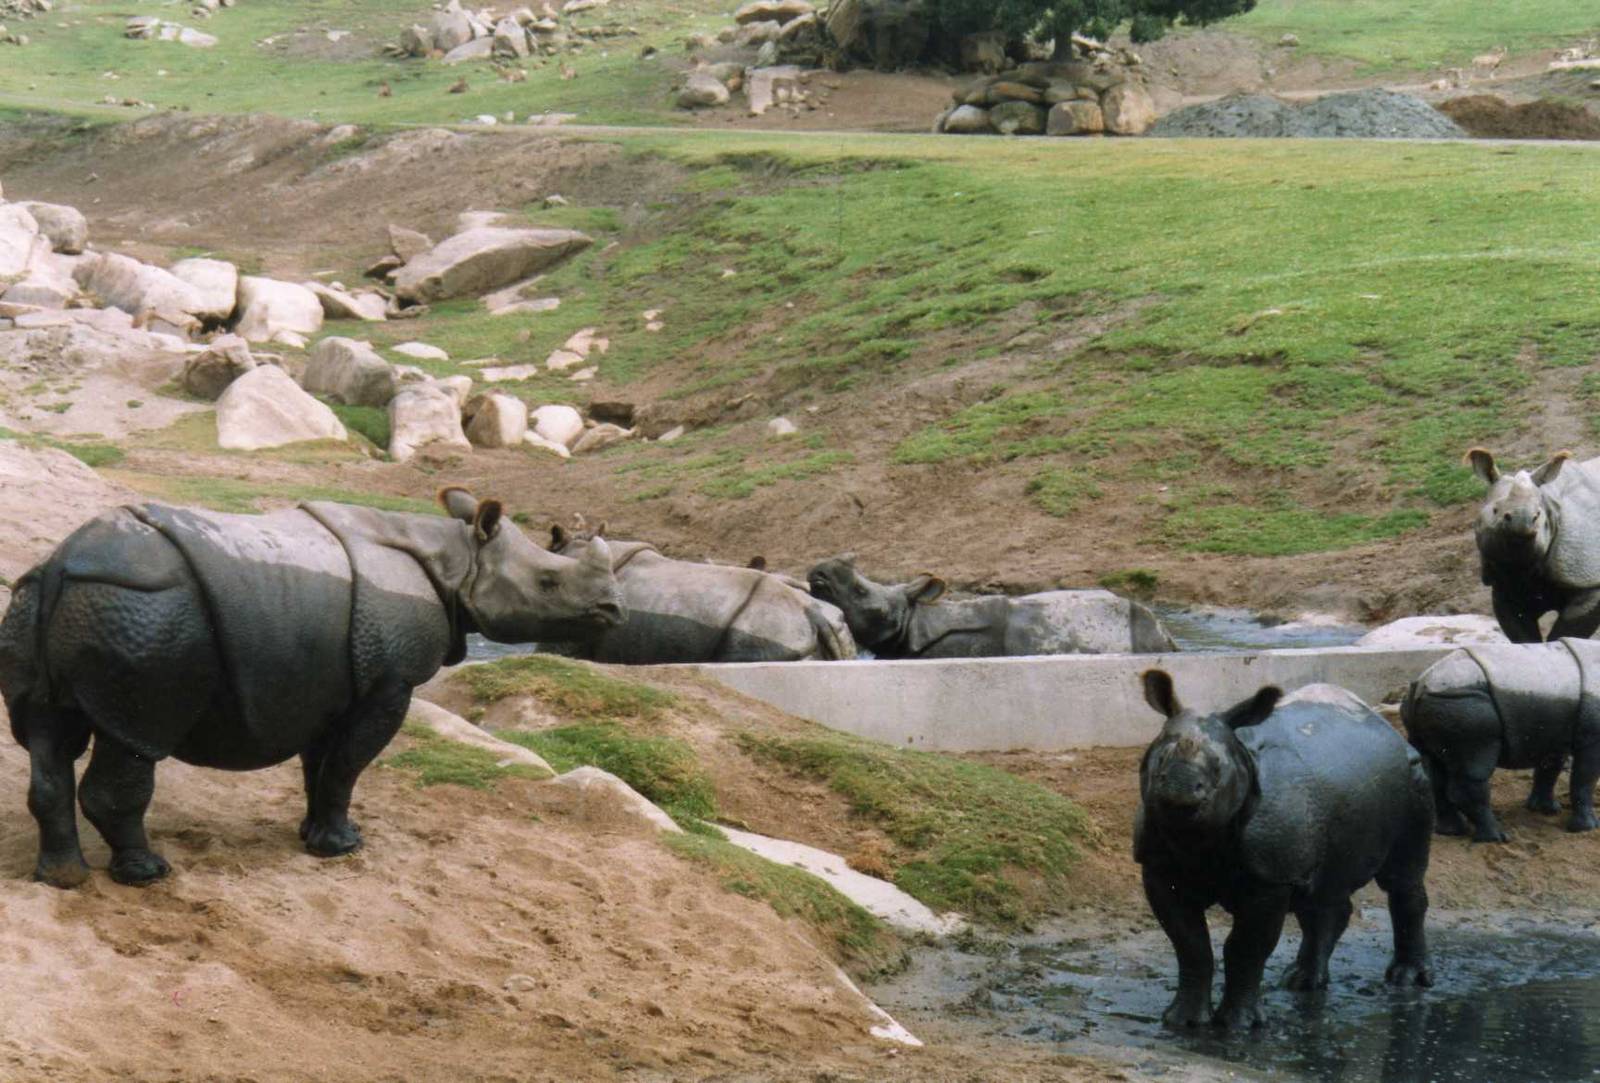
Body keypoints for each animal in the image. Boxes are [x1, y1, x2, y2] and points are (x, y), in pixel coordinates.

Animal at [0, 489, 623, 888]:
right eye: (548, 582)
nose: (613, 611)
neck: (458, 560)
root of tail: (60, 565)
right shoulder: (389, 682)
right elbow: (349, 764)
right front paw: (344, 847)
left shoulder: (332, 678)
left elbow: (321, 762)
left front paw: (313, 834)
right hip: (146, 615)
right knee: (137, 739)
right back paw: (147, 875)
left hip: (50, 603)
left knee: (48, 736)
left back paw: (62, 879)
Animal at [1136, 672, 1434, 1030]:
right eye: (1159, 762)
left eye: (1219, 768)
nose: (1179, 790)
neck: (1197, 840)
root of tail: (1387, 728)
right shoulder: (1157, 867)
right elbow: (1190, 945)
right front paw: (1183, 1022)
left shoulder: (1271, 876)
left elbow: (1246, 948)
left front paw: (1239, 1026)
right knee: (1320, 892)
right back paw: (1301, 981)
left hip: (1414, 778)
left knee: (1401, 878)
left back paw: (1407, 980)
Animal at [1403, 638, 1600, 842]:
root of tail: (1420, 685)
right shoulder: (1592, 736)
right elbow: (1585, 778)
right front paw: (1587, 828)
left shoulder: (1557, 729)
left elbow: (1549, 767)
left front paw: (1545, 810)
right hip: (1465, 705)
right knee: (1474, 766)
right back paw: (1497, 838)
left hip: (1438, 704)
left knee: (1434, 768)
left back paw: (1451, 831)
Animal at [1468, 448, 1600, 643]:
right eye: (1495, 511)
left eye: (1537, 515)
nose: (1522, 522)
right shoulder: (1503, 584)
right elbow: (1521, 632)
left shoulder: (1587, 577)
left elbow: (1567, 630)